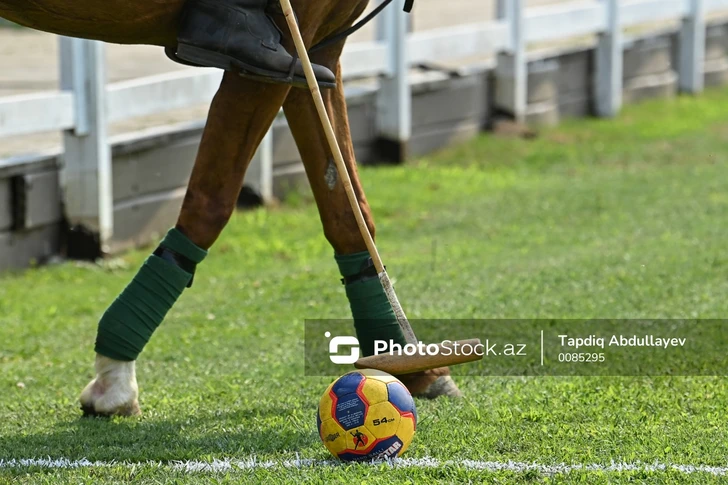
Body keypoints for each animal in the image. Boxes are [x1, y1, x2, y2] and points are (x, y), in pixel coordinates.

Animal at [0, 0, 458, 416]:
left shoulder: (317, 52)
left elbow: (347, 207)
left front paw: (409, 363)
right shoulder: (269, 56)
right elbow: (211, 203)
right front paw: (114, 378)